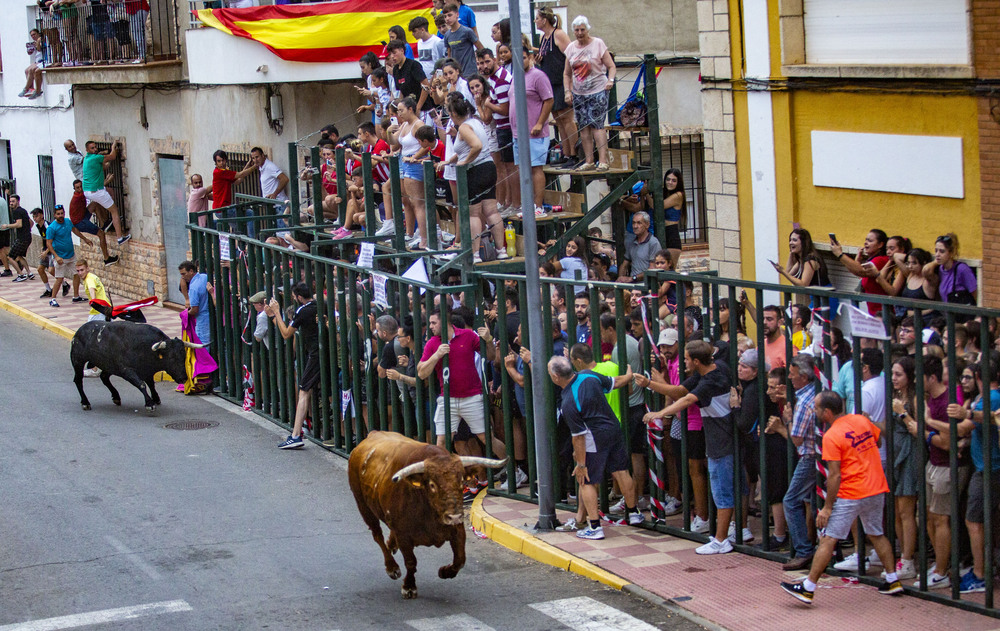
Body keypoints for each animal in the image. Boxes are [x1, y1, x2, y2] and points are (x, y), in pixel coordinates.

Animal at [350, 432, 508, 600]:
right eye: (432, 485)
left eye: (461, 481)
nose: (454, 516)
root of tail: (372, 434)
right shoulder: (403, 534)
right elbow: (411, 562)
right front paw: (409, 587)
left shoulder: (457, 529)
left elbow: (460, 559)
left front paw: (444, 572)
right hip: (363, 505)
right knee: (377, 535)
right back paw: (391, 568)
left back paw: (392, 544)